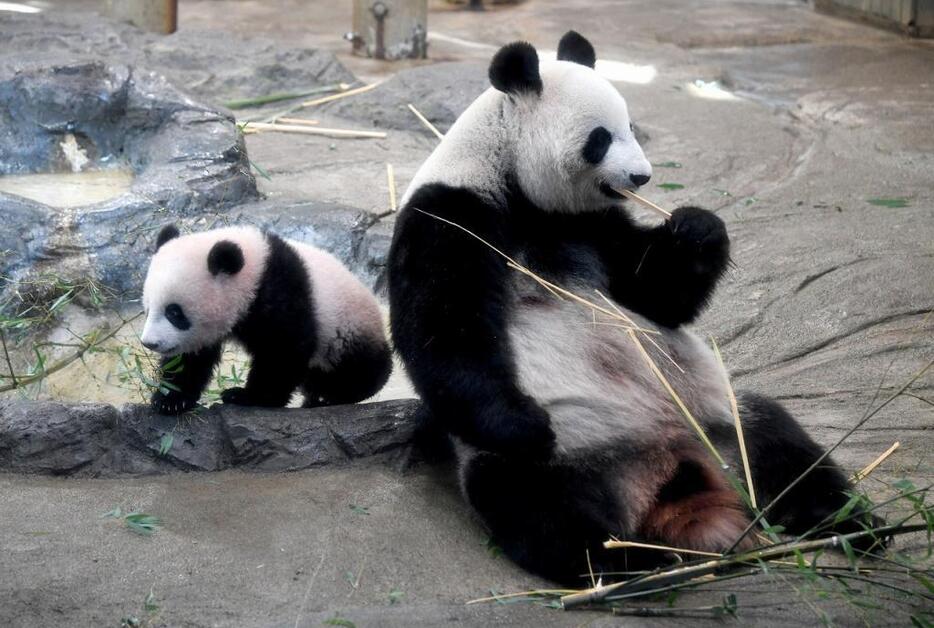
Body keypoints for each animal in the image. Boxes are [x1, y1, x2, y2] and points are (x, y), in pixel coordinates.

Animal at [142, 223, 392, 414]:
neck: (254, 270)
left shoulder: (280, 292)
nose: (149, 343)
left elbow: (282, 351)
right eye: (147, 309)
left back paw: (332, 395)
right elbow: (191, 358)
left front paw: (246, 397)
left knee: (358, 368)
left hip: (346, 328)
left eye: (174, 312)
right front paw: (170, 400)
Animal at [388, 31, 884, 588]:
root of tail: (671, 472)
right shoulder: (452, 214)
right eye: (600, 138)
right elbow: (444, 330)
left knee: (783, 448)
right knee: (537, 507)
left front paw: (697, 228)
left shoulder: (593, 226)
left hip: (720, 423)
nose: (642, 177)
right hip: (569, 458)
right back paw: (628, 563)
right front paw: (525, 425)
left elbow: (656, 294)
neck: (513, 179)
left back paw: (855, 524)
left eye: (632, 126)